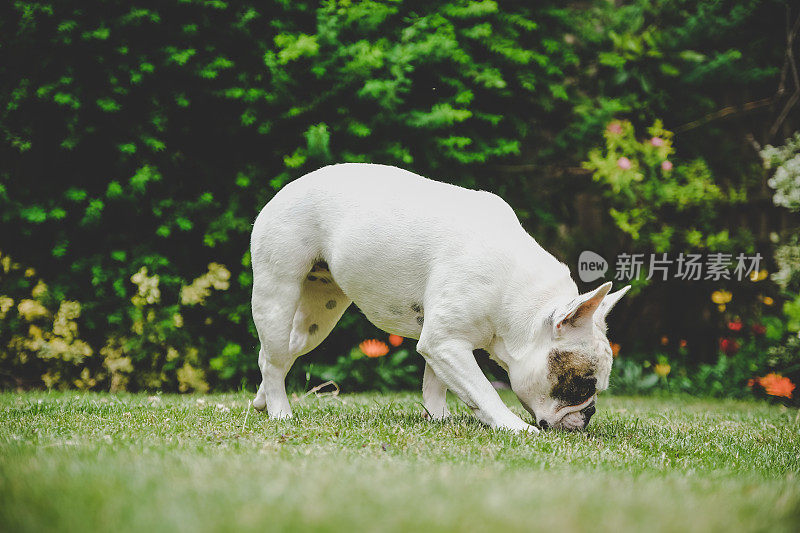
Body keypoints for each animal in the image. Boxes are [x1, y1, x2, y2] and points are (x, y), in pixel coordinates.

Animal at [253, 164, 628, 434]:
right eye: (581, 386)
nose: (590, 414)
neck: (518, 300)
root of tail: (289, 187)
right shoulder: (444, 343)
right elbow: (483, 389)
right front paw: (513, 426)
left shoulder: (442, 341)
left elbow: (437, 385)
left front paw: (439, 418)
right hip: (277, 293)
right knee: (274, 359)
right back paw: (280, 412)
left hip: (318, 318)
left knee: (277, 354)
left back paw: (262, 401)